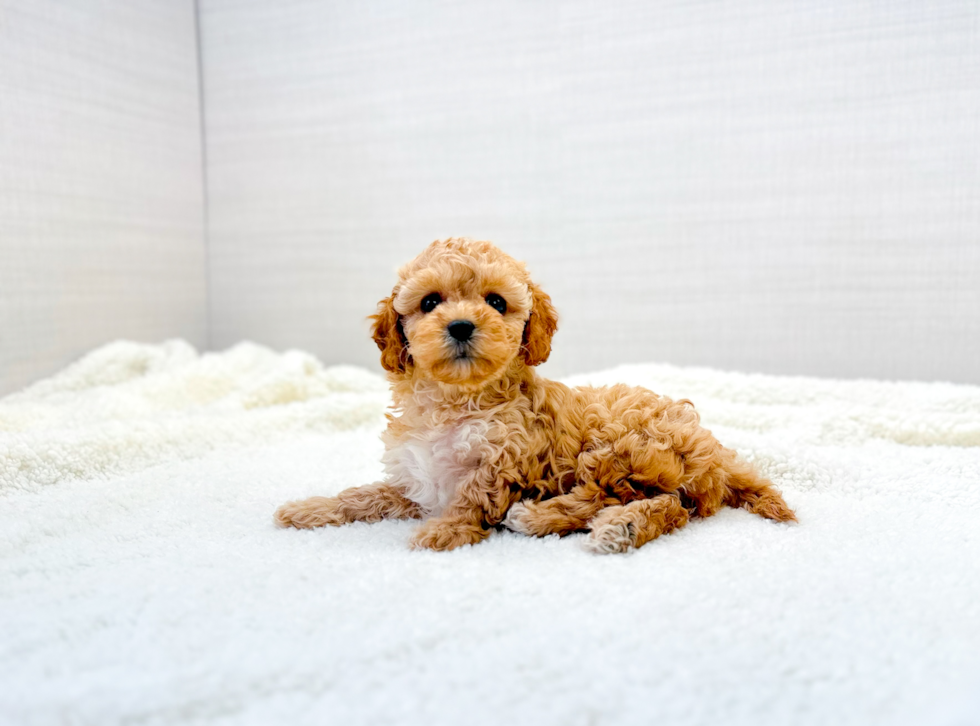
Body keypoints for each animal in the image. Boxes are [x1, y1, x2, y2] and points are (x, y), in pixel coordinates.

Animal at [272, 236, 792, 556]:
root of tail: (715, 452)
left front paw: (443, 532)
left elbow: (473, 499)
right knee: (672, 506)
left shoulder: (503, 461)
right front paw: (309, 509)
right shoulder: (418, 481)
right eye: (430, 302)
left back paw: (565, 521)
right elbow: (364, 496)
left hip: (620, 444)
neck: (456, 401)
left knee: (634, 501)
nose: (461, 325)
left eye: (496, 302)